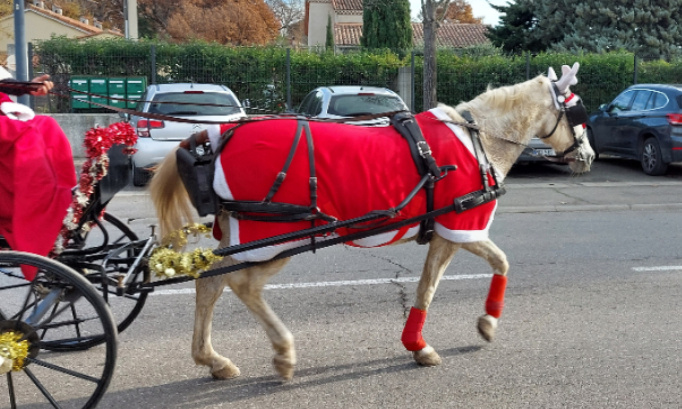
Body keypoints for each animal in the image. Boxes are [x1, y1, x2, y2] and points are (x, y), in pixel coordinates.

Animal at [149, 63, 594, 381]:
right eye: (576, 111)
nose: (589, 155)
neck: (479, 138)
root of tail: (219, 134)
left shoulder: (444, 234)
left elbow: (431, 285)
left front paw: (421, 342)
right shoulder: (461, 228)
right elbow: (490, 266)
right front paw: (483, 324)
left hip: (244, 237)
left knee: (210, 283)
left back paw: (212, 359)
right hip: (272, 239)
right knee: (242, 285)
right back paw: (282, 352)